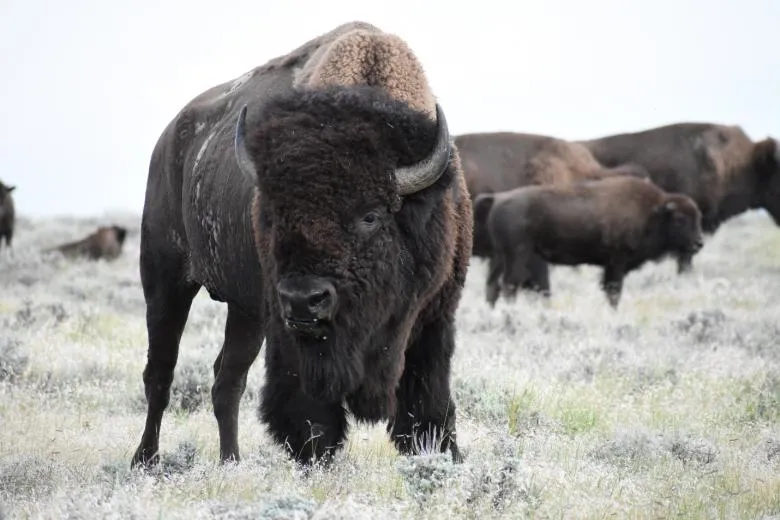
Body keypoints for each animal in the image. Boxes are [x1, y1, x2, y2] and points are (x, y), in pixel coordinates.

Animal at [131, 22, 472, 469]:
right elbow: (310, 413)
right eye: (275, 213)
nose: (303, 299)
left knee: (227, 379)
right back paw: (145, 460)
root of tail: (169, 140)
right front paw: (315, 457)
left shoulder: (433, 319)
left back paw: (230, 461)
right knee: (161, 373)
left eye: (371, 216)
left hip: (245, 311)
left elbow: (429, 404)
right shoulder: (290, 336)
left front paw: (445, 454)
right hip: (166, 280)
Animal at [476, 176, 703, 308]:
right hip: (517, 255)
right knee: (509, 285)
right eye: (680, 219)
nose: (698, 243)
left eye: (698, 217)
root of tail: (498, 198)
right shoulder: (617, 263)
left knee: (492, 286)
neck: (653, 212)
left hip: (500, 256)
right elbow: (614, 291)